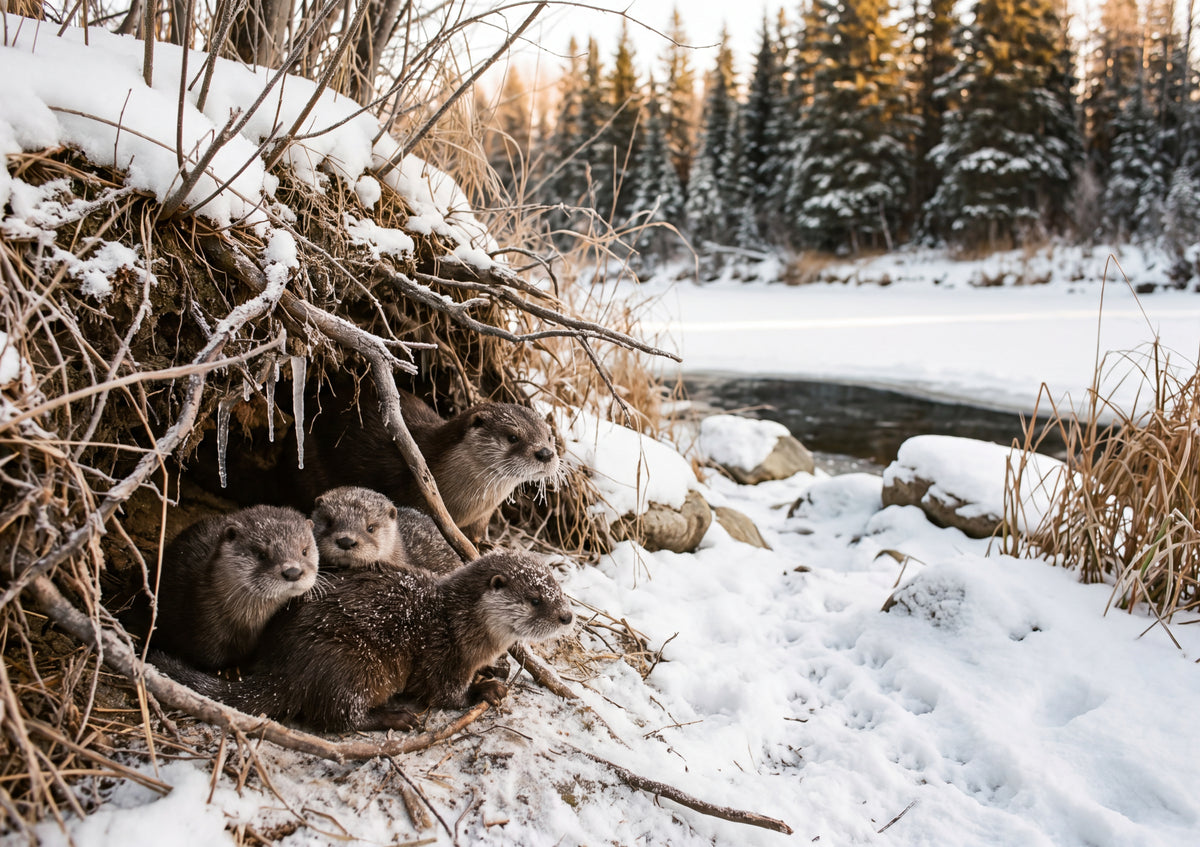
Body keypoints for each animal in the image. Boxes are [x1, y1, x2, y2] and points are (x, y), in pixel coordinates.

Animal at [152, 550, 574, 732]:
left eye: (556, 588)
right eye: (536, 599)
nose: (567, 615)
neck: (462, 622)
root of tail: (283, 669)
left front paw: (496, 667)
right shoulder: (444, 652)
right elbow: (445, 694)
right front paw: (485, 689)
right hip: (353, 664)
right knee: (340, 717)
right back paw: (396, 718)